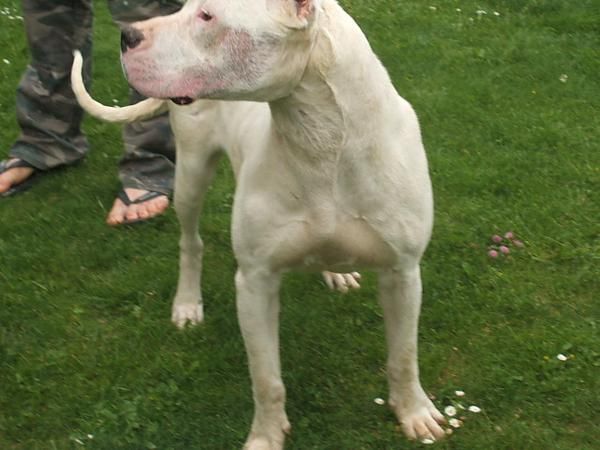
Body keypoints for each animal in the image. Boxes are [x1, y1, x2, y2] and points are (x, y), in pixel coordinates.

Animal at [70, 0, 446, 446]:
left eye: (207, 16)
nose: (127, 36)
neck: (322, 141)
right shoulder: (254, 282)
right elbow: (267, 379)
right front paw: (266, 436)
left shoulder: (402, 273)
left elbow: (404, 356)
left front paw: (414, 412)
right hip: (191, 172)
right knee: (190, 242)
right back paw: (187, 303)